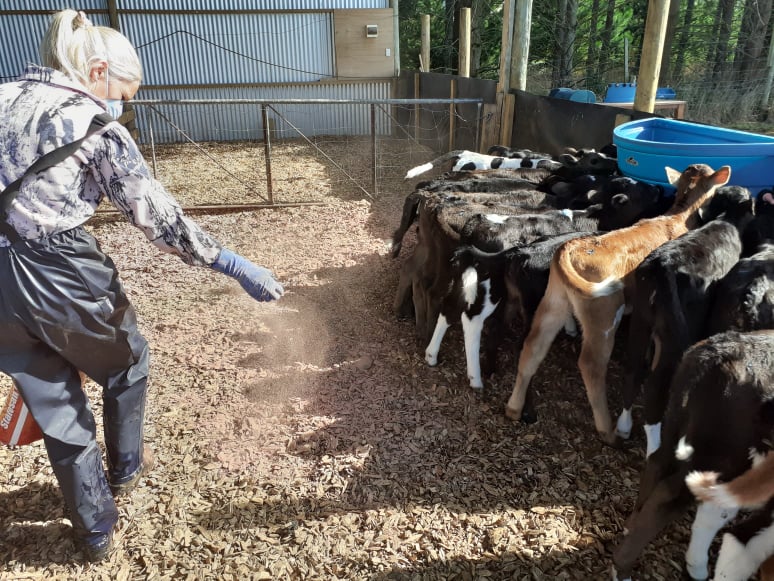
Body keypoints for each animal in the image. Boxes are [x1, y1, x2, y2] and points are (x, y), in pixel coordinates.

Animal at [506, 163, 732, 444]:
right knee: (591, 364)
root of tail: (570, 248)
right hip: (603, 313)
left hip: (554, 301)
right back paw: (608, 430)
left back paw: (514, 408)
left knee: (533, 345)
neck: (676, 217)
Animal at [612, 330, 774, 580]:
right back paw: (622, 567)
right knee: (670, 495)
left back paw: (631, 524)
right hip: (723, 452)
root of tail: (717, 353)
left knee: (657, 462)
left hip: (677, 420)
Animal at [616, 185, 756, 454]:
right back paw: (654, 446)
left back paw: (623, 426)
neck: (727, 219)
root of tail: (662, 265)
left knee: (633, 368)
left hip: (641, 320)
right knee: (655, 385)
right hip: (674, 333)